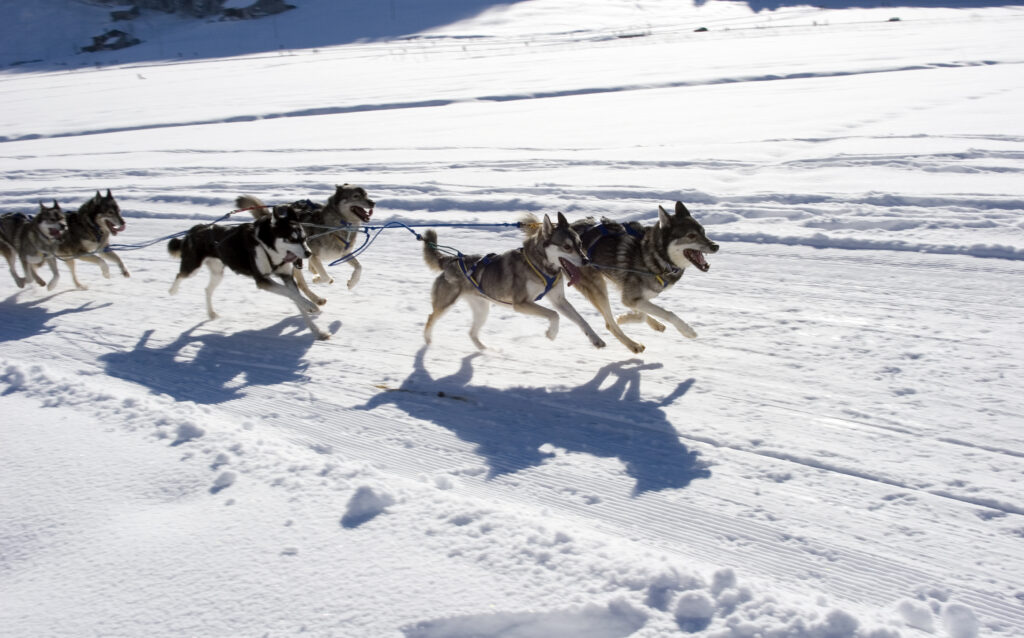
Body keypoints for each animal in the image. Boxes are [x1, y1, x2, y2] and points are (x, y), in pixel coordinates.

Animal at [166, 206, 327, 342]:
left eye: (304, 238)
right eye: (292, 239)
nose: (308, 253)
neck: (266, 245)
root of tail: (196, 229)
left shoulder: (287, 277)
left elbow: (297, 300)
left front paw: (317, 331)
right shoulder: (262, 280)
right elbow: (291, 294)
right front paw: (310, 305)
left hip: (218, 273)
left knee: (207, 290)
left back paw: (211, 313)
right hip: (192, 268)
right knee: (180, 275)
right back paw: (172, 290)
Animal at [239, 184, 376, 307]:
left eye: (366, 194)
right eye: (356, 196)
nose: (373, 202)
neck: (336, 225)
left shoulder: (343, 253)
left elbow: (359, 267)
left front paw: (352, 282)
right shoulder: (313, 255)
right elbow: (325, 276)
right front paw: (317, 278)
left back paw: (316, 299)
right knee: (301, 283)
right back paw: (315, 299)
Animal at [419, 211, 602, 352]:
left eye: (579, 244)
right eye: (567, 247)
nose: (586, 260)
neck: (540, 265)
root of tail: (451, 259)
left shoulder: (559, 300)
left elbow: (581, 320)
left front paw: (596, 339)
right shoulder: (521, 303)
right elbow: (554, 315)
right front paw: (551, 333)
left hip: (482, 310)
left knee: (471, 333)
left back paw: (485, 350)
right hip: (446, 304)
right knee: (430, 317)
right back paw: (428, 342)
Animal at [569, 200, 720, 354]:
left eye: (703, 232)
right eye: (691, 235)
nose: (716, 246)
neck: (655, 256)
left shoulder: (636, 297)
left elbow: (642, 313)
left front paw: (626, 318)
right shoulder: (630, 298)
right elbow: (667, 313)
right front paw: (688, 330)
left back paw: (653, 325)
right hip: (598, 288)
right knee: (610, 325)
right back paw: (633, 345)